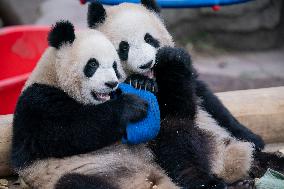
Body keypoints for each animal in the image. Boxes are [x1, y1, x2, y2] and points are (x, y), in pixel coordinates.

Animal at [12, 19, 180, 189]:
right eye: (93, 64)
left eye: (114, 66)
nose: (111, 83)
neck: (55, 78)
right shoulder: (37, 104)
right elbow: (71, 130)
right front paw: (132, 105)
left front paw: (143, 82)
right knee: (74, 182)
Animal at [87, 0, 284, 188]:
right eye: (124, 47)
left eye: (149, 39)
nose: (147, 64)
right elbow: (174, 108)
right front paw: (141, 82)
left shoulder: (195, 84)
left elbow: (211, 103)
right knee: (178, 144)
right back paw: (215, 183)